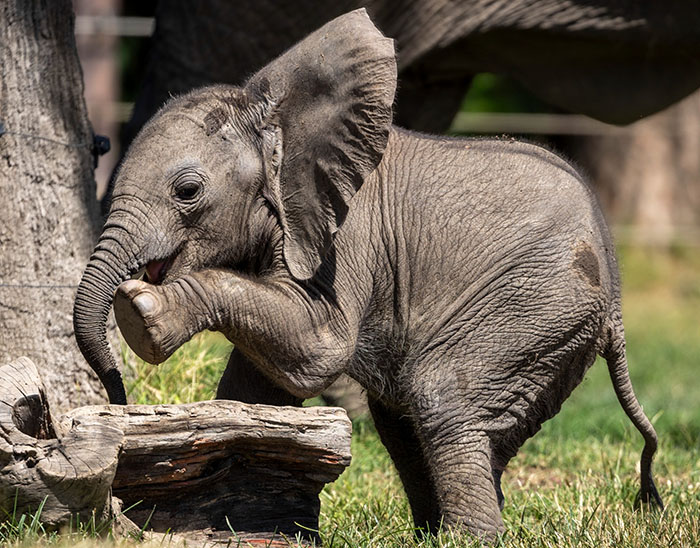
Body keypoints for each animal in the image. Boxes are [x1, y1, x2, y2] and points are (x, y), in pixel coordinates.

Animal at [74, 8, 664, 540]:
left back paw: (467, 538)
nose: (119, 401)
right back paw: (438, 532)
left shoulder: (345, 237)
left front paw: (140, 311)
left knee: (442, 398)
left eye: (187, 191)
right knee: (409, 425)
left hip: (536, 304)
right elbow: (259, 382)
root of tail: (615, 299)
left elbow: (320, 346)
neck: (279, 123)